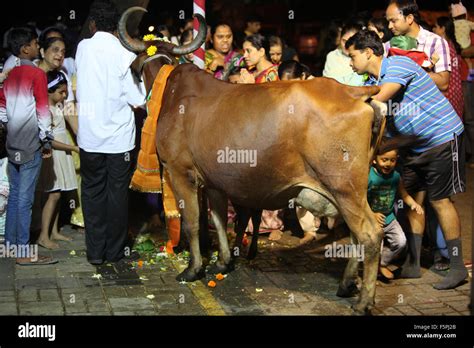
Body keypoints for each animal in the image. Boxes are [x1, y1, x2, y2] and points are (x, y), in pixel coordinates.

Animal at [117, 8, 386, 314]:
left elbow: (192, 221)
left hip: (344, 188)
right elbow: (218, 217)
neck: (171, 92)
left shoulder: (180, 173)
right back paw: (346, 284)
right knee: (355, 235)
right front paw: (223, 261)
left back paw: (363, 301)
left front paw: (193, 268)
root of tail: (355, 93)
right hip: (347, 193)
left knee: (370, 234)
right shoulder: (214, 181)